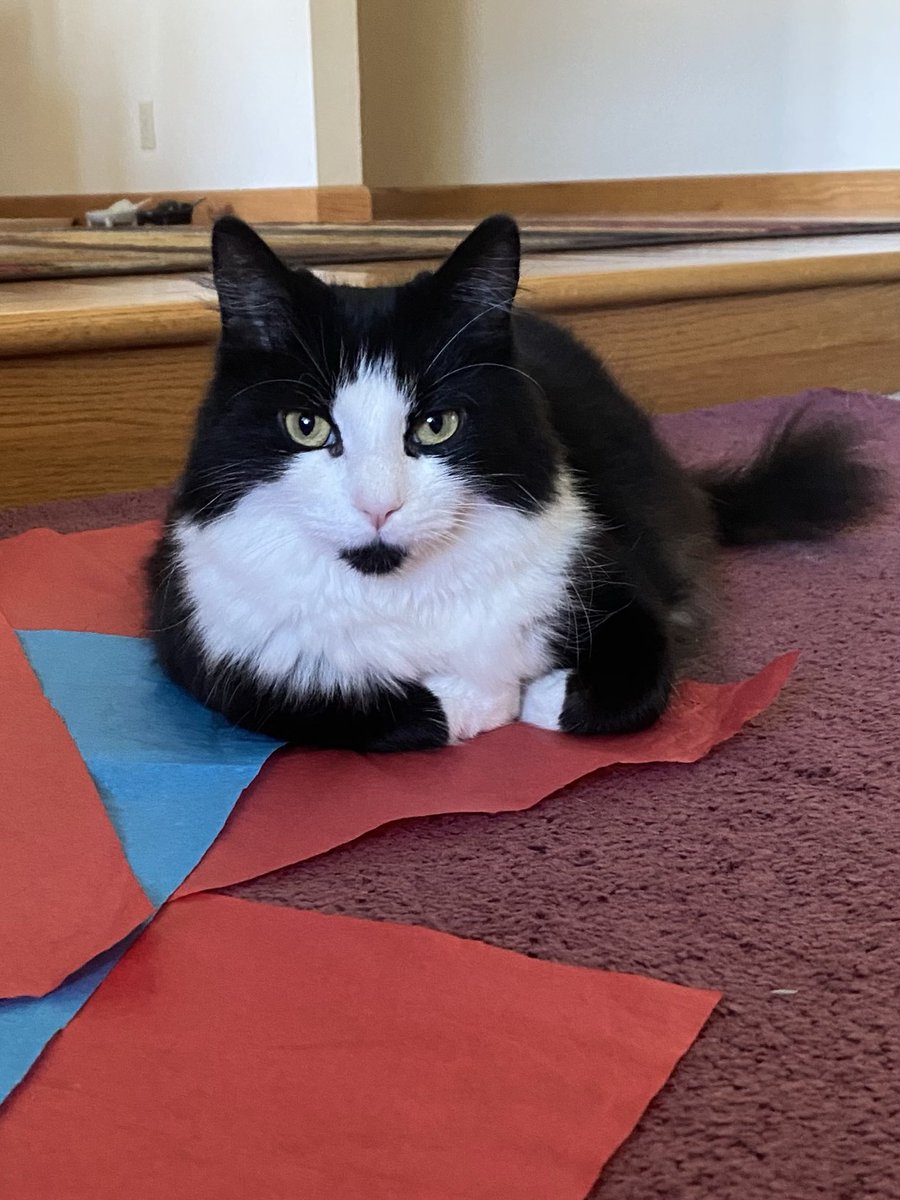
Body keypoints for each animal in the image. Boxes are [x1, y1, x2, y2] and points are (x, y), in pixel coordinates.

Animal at [146, 216, 883, 748]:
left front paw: (535, 696)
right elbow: (374, 708)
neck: (402, 592)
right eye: (305, 425)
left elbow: (631, 689)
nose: (379, 506)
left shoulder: (617, 584)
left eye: (437, 426)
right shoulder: (207, 645)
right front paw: (481, 702)